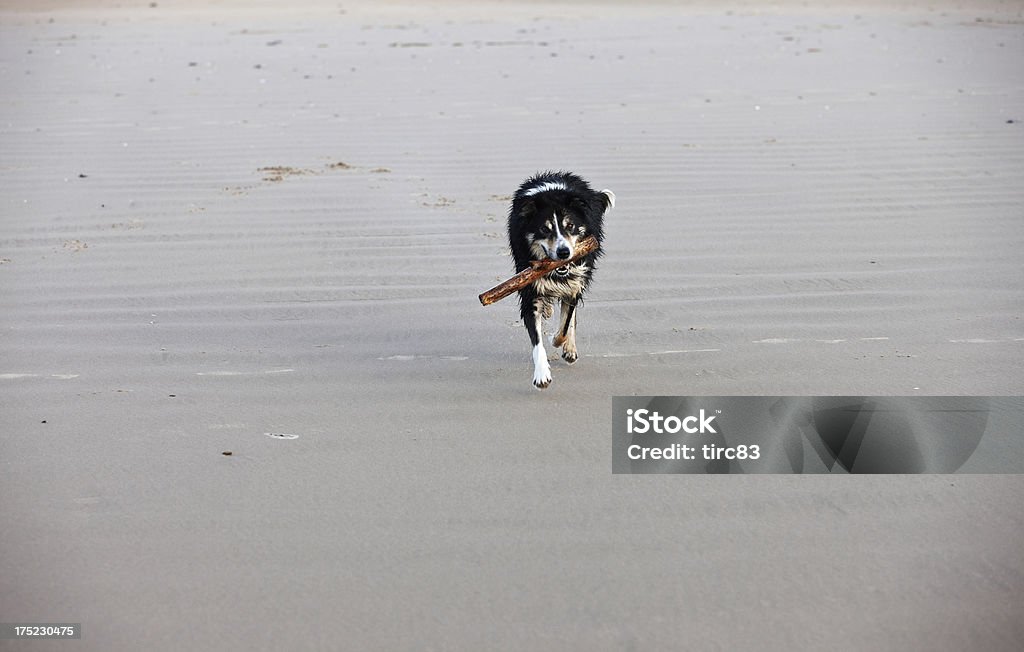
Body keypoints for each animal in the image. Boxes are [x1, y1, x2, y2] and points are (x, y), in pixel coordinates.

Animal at [505, 169, 610, 388]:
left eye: (570, 226)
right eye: (545, 229)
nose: (563, 252)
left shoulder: (575, 282)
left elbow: (565, 323)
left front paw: (558, 341)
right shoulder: (529, 288)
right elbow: (537, 340)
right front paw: (541, 375)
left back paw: (569, 348)